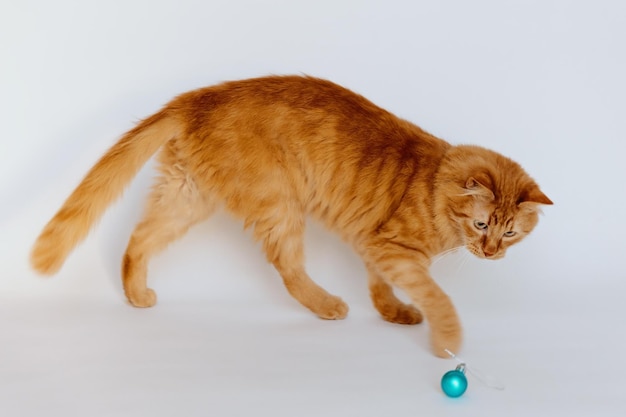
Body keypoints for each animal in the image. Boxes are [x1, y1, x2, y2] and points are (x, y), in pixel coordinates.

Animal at [30, 75, 544, 354]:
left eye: (510, 234)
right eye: (482, 225)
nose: (491, 253)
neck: (435, 182)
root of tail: (195, 97)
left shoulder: (374, 244)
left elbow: (381, 286)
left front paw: (392, 313)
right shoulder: (392, 248)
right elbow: (439, 299)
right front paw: (447, 341)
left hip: (187, 195)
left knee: (138, 239)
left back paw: (137, 295)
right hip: (279, 204)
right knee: (287, 267)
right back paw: (328, 305)